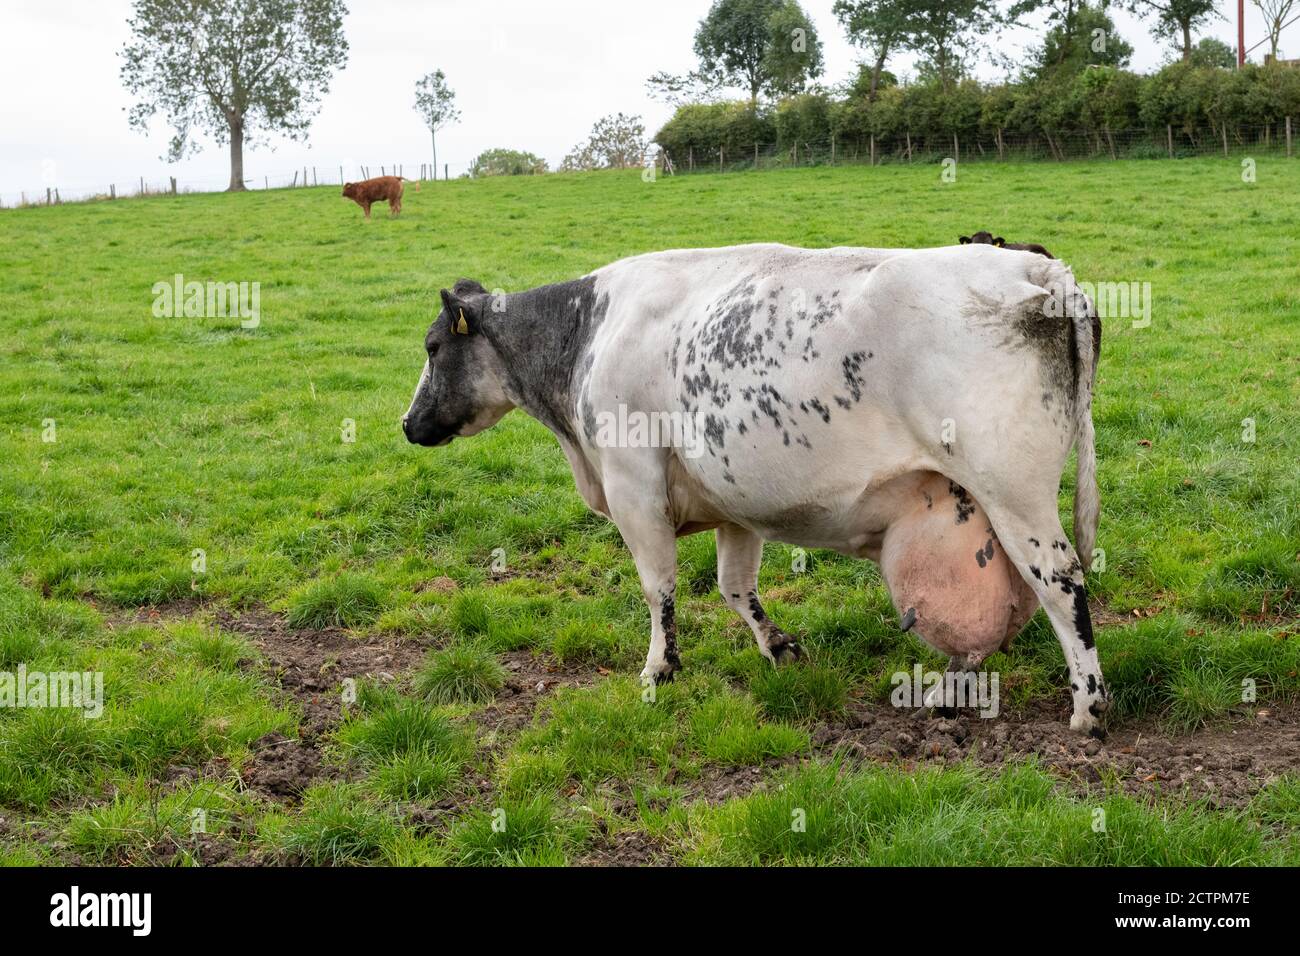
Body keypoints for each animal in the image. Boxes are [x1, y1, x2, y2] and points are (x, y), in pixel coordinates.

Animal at [402, 244, 1108, 736]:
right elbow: (734, 587)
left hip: (1015, 494)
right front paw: (780, 648)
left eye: (433, 347)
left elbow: (658, 588)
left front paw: (659, 668)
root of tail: (1038, 269)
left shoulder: (633, 485)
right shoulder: (730, 502)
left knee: (1060, 585)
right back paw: (948, 690)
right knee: (1005, 603)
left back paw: (1088, 709)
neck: (587, 335)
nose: (408, 424)